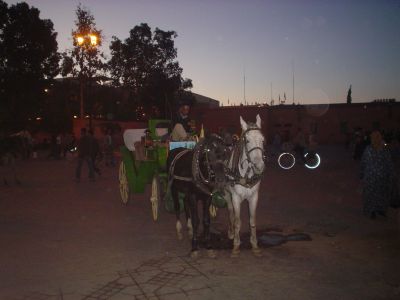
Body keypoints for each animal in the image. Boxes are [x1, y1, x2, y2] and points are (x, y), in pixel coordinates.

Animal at [225, 115, 266, 258]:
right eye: (247, 141)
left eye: (263, 140)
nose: (259, 166)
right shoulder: (236, 197)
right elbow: (238, 221)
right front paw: (236, 246)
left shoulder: (254, 197)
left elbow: (252, 221)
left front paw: (255, 245)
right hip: (227, 194)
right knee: (230, 211)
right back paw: (231, 232)